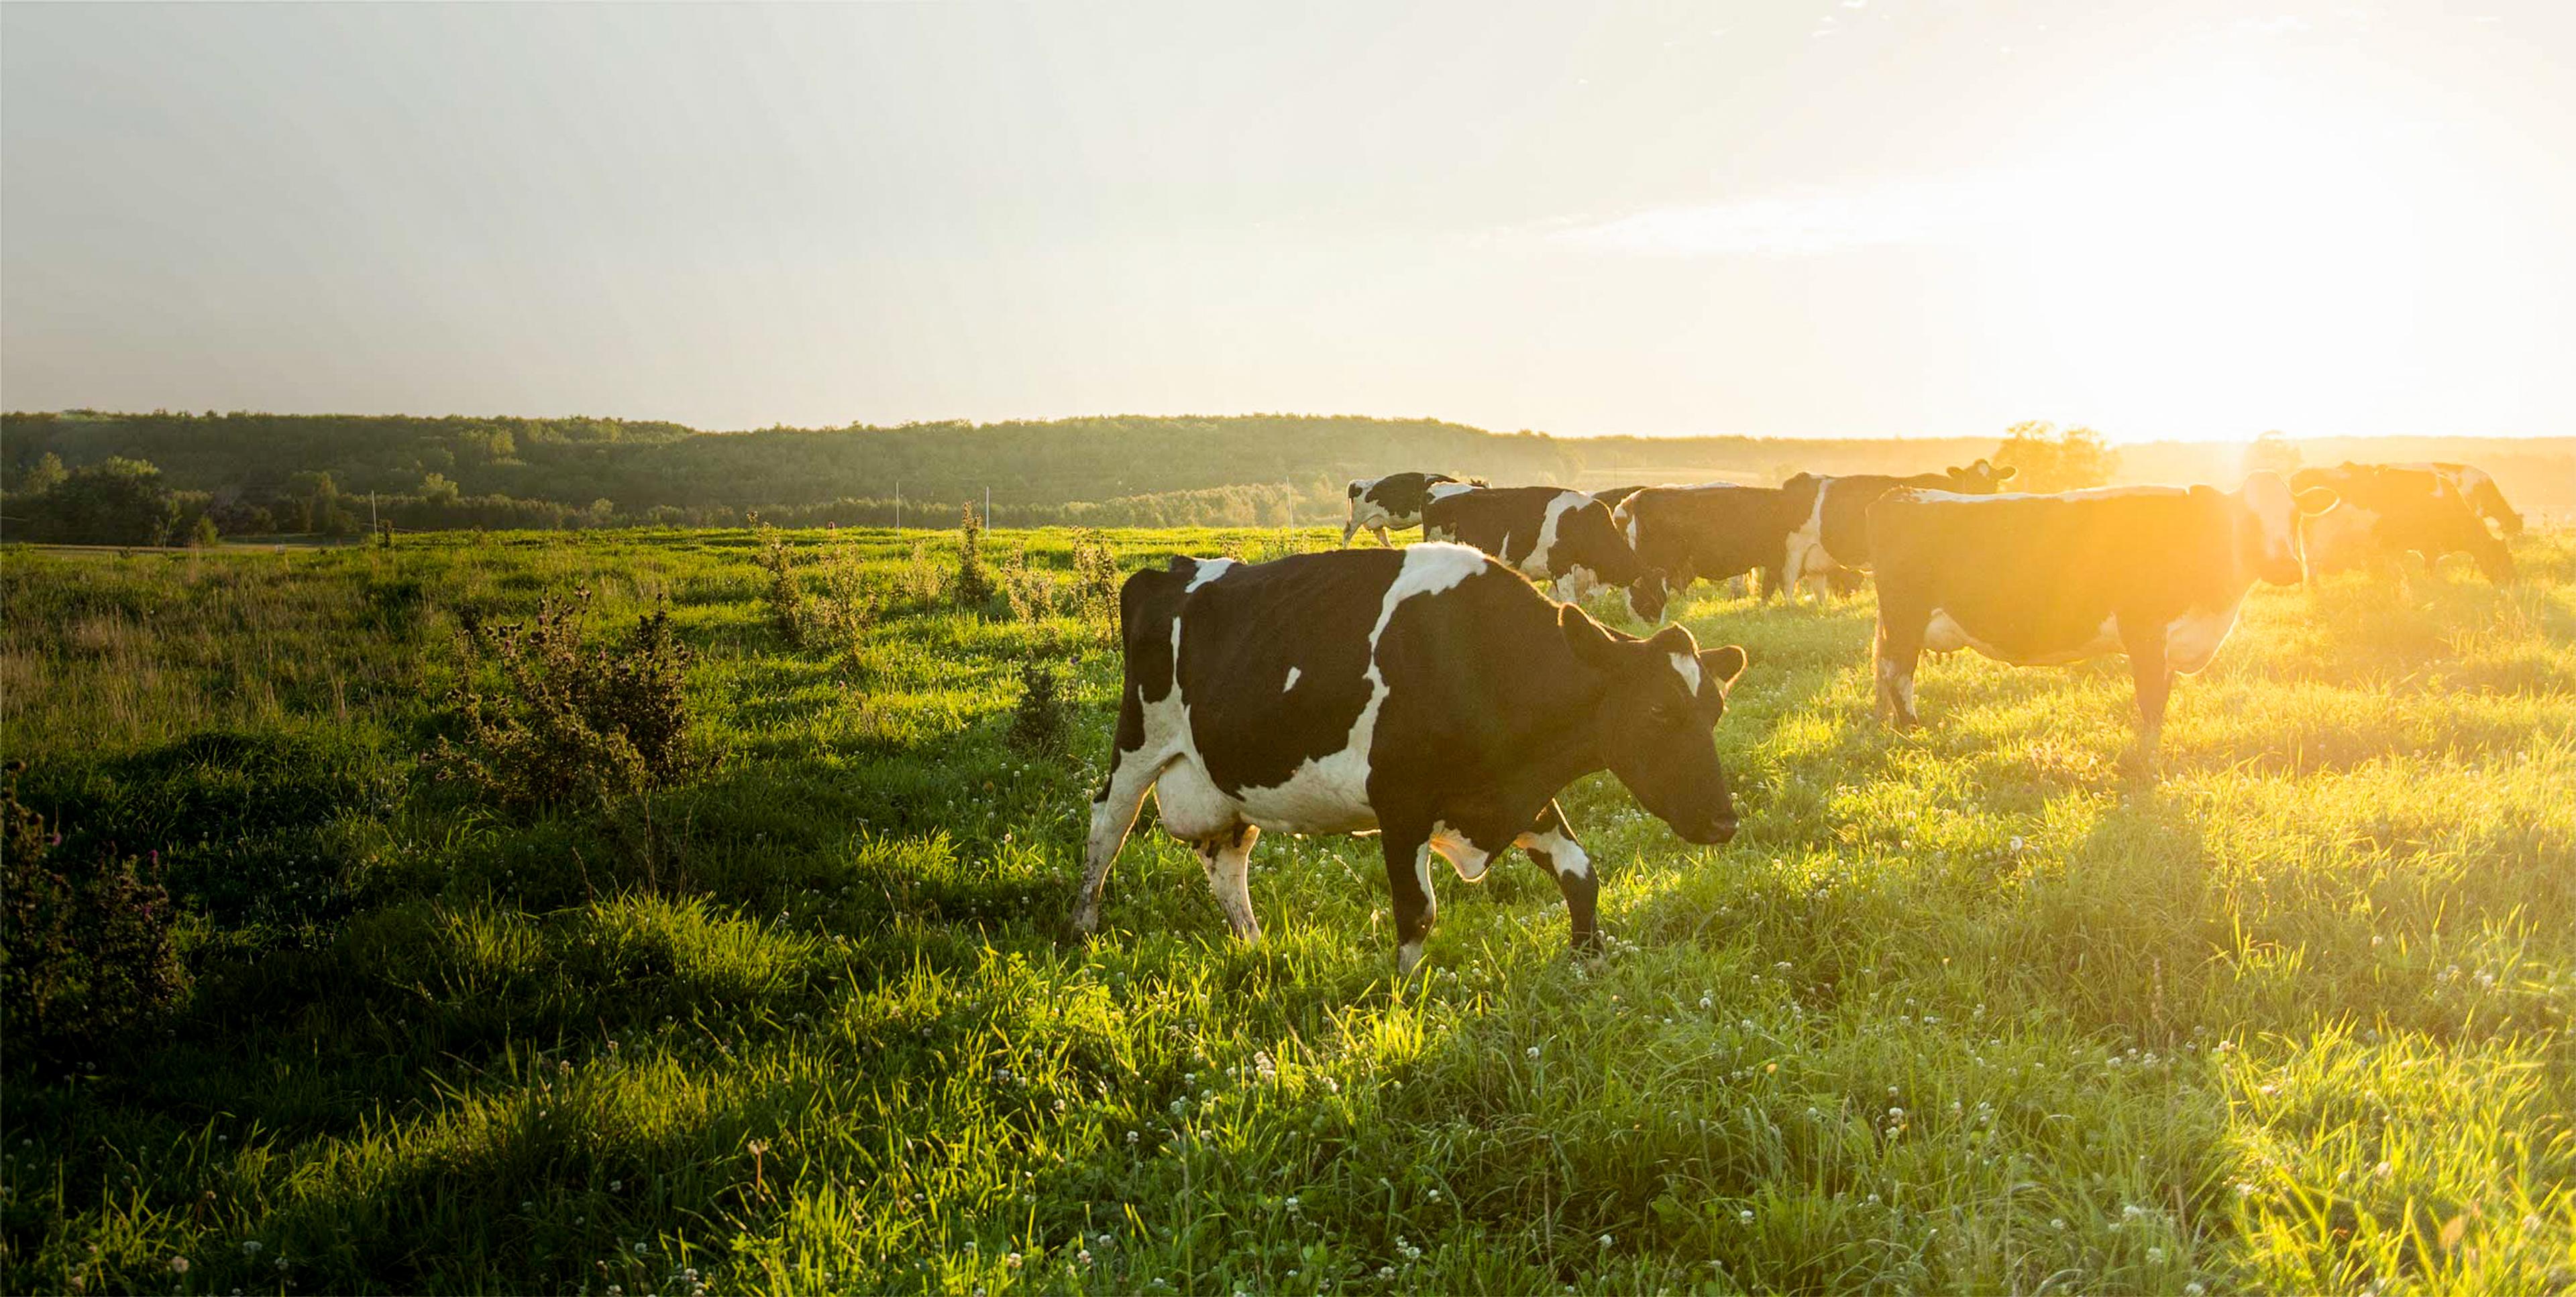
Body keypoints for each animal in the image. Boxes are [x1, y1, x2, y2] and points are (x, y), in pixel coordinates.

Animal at [1072, 544, 1750, 973]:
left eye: (1715, 712)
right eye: (1657, 712)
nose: (1723, 821)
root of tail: (1174, 570)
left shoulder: (1515, 795)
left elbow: (1583, 876)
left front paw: (1588, 968)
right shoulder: (1401, 805)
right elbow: (1417, 913)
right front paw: (1402, 1000)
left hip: (1228, 782)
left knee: (1226, 861)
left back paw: (1255, 946)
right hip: (1137, 746)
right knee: (1107, 827)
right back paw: (1082, 927)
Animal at [1779, 461, 2019, 600]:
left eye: (1994, 482)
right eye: (1969, 480)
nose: (1982, 498)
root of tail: (1800, 477)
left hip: (1816, 552)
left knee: (1817, 582)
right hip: (1794, 545)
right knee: (1789, 580)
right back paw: (1792, 607)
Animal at [1865, 473, 2338, 751]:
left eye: (2296, 515)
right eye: (2245, 519)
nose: (2286, 567)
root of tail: (1902, 494)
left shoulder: (2171, 644)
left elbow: (2162, 698)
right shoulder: (2145, 632)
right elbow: (2150, 701)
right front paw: (2148, 761)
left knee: (1886, 670)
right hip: (1906, 617)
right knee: (1898, 672)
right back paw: (1912, 729)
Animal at [2290, 462, 2514, 587]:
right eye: (2502, 558)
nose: (2513, 583)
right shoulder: (2428, 547)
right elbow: (2428, 571)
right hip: (2317, 541)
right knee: (2311, 570)